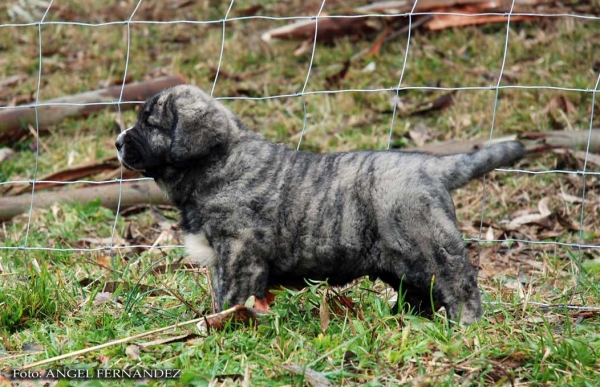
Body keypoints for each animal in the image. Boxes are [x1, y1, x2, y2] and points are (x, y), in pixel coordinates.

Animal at [117, 85, 524, 324]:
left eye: (150, 123)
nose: (118, 142)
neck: (218, 161)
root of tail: (433, 166)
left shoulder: (238, 253)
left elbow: (232, 295)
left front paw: (225, 326)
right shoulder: (223, 258)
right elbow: (221, 292)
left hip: (427, 244)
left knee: (459, 282)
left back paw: (465, 325)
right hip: (398, 259)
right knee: (418, 292)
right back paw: (401, 321)